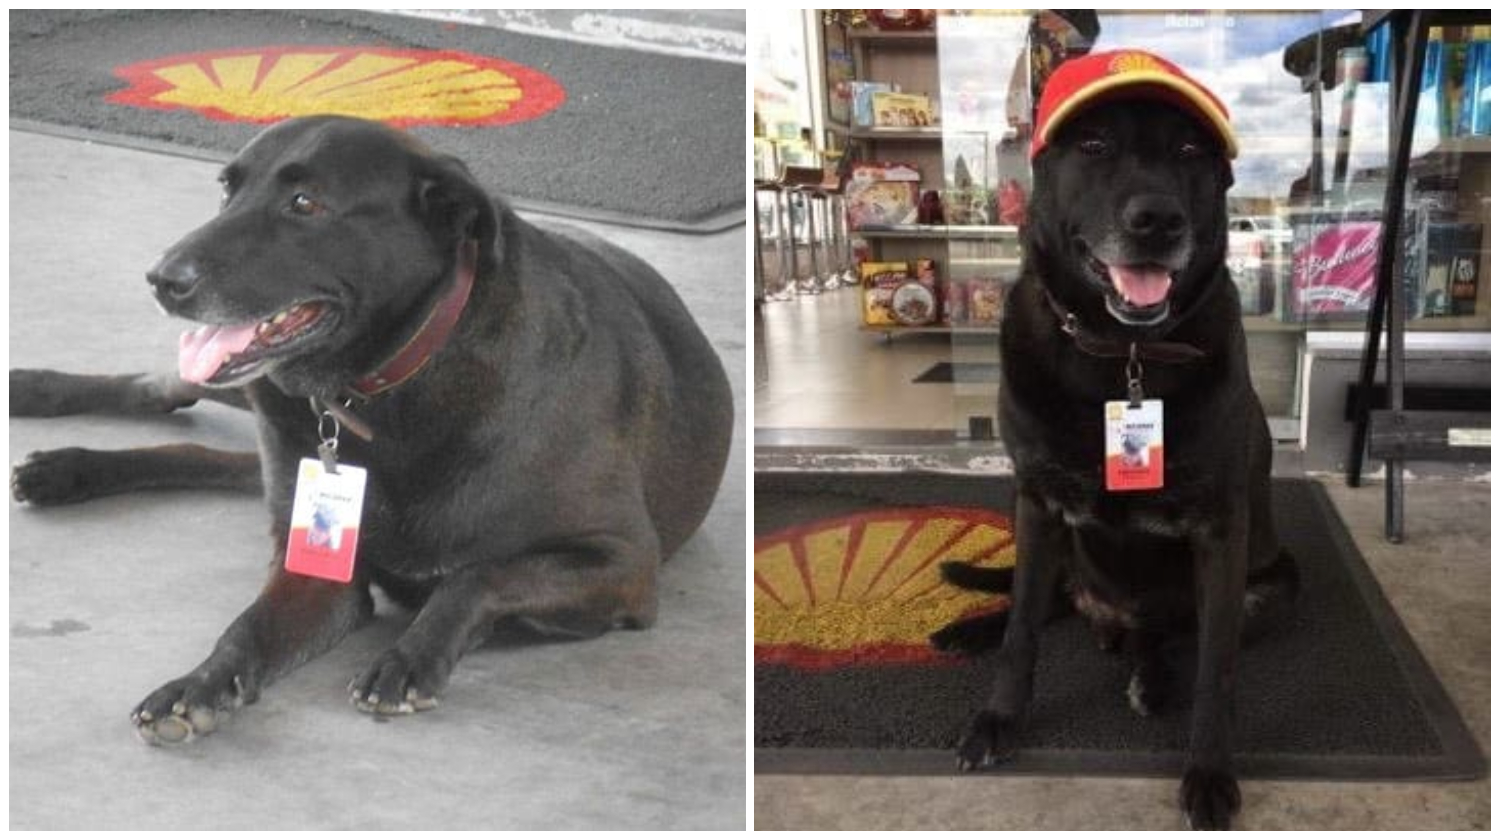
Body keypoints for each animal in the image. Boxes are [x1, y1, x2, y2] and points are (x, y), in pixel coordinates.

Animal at [10, 114, 738, 744]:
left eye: (305, 203)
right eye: (226, 188)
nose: (161, 278)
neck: (383, 389)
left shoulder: (623, 562)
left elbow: (476, 576)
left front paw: (407, 658)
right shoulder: (315, 571)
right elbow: (245, 629)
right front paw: (198, 683)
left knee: (201, 444)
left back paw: (67, 465)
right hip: (254, 390)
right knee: (171, 392)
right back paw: (42, 416)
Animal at [936, 49, 1302, 828]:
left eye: (1191, 151)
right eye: (1095, 145)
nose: (1157, 219)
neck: (1121, 353)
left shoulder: (1220, 533)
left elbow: (1216, 669)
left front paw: (1209, 770)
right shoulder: (1037, 505)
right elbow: (1021, 633)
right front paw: (999, 718)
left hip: (1268, 586)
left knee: (1164, 634)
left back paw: (1149, 673)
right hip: (1057, 549)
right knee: (1043, 603)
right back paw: (972, 630)